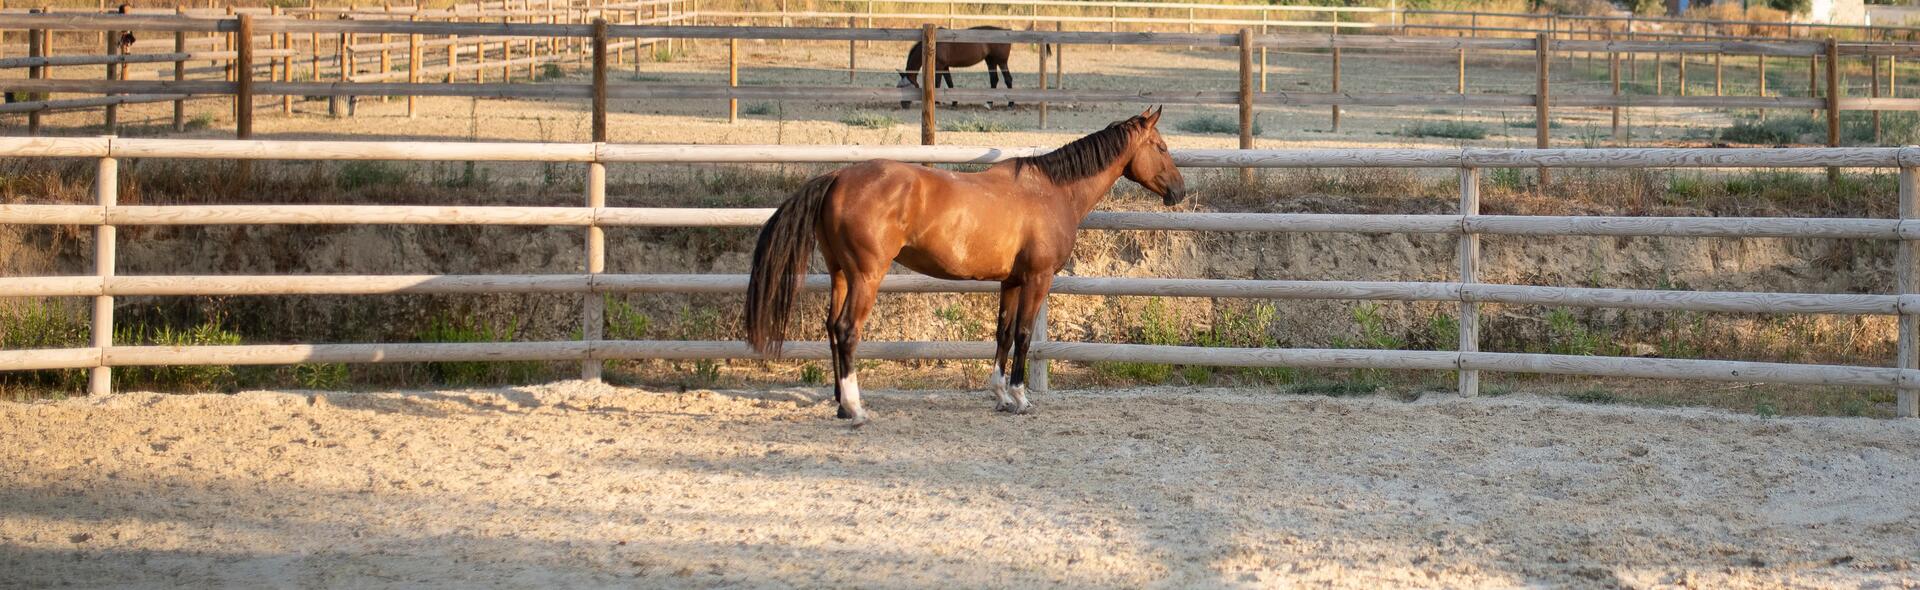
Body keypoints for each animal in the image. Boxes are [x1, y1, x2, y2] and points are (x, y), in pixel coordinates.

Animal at [744, 108, 1182, 428]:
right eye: (1160, 146)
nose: (1178, 190)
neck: (1052, 191)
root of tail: (837, 176)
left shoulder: (1011, 281)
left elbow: (1002, 333)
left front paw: (1000, 395)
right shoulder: (1038, 279)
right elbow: (1023, 335)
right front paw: (1020, 397)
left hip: (840, 274)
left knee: (833, 328)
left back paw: (839, 403)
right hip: (865, 277)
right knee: (848, 330)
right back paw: (855, 408)